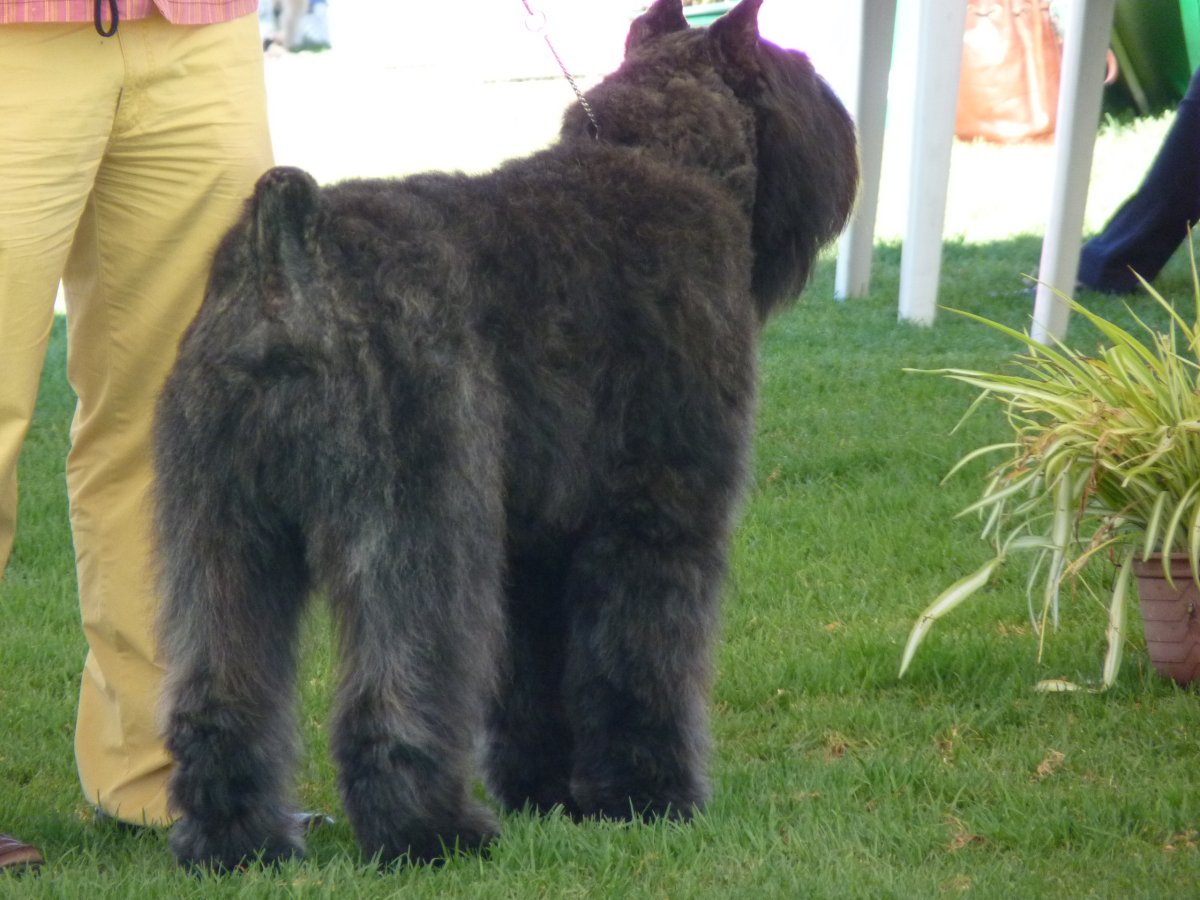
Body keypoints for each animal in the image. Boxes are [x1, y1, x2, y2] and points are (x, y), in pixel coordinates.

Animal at [153, 0, 857, 870]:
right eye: (803, 74)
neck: (661, 156)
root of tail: (286, 255)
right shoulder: (659, 515)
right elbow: (639, 660)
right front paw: (649, 795)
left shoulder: (538, 538)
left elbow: (535, 673)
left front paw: (547, 792)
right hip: (417, 524)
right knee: (399, 688)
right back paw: (432, 831)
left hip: (221, 532)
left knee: (219, 692)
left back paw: (238, 841)